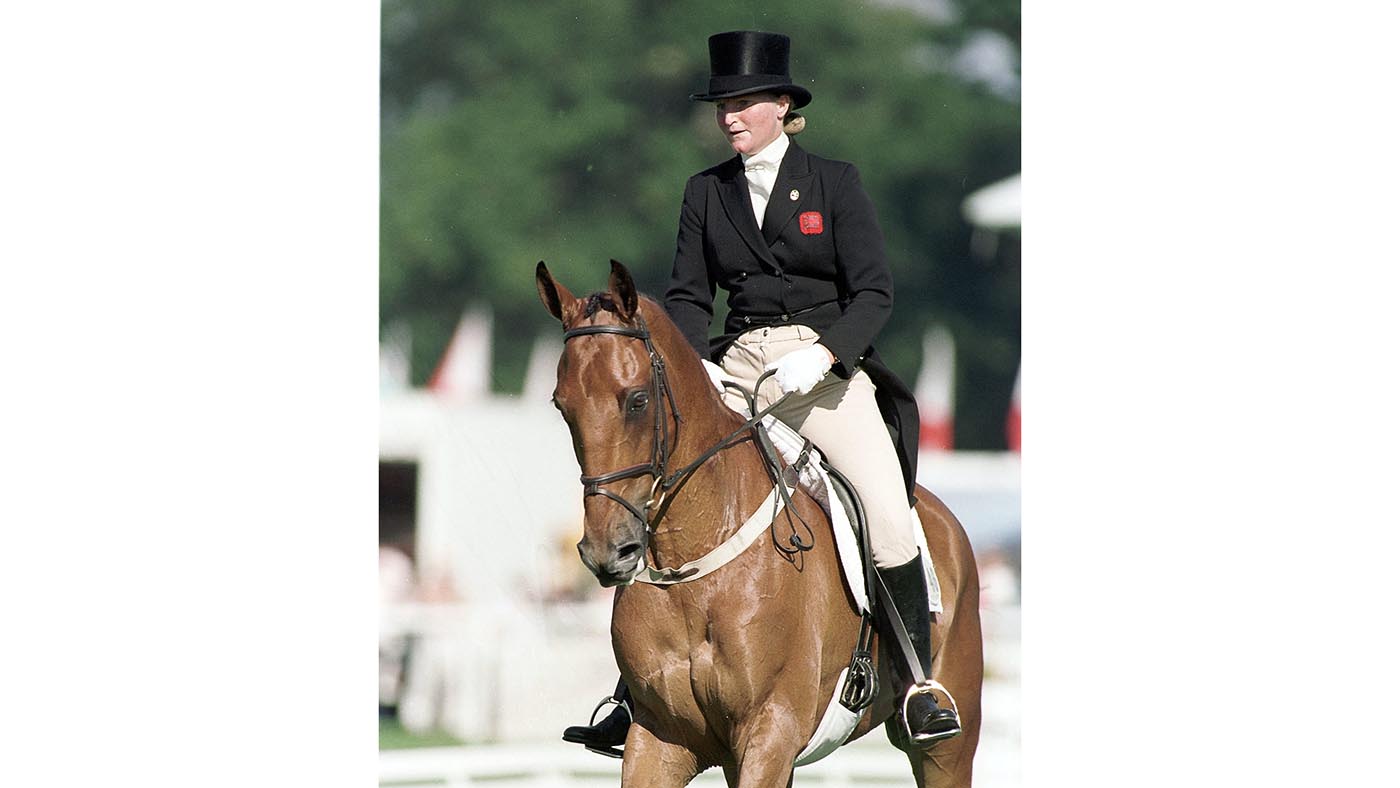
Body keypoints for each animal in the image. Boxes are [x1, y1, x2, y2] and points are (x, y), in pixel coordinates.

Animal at [536, 260, 983, 787]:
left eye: (638, 401)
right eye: (562, 406)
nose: (608, 552)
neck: (694, 563)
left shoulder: (770, 732)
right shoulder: (659, 739)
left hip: (945, 751)